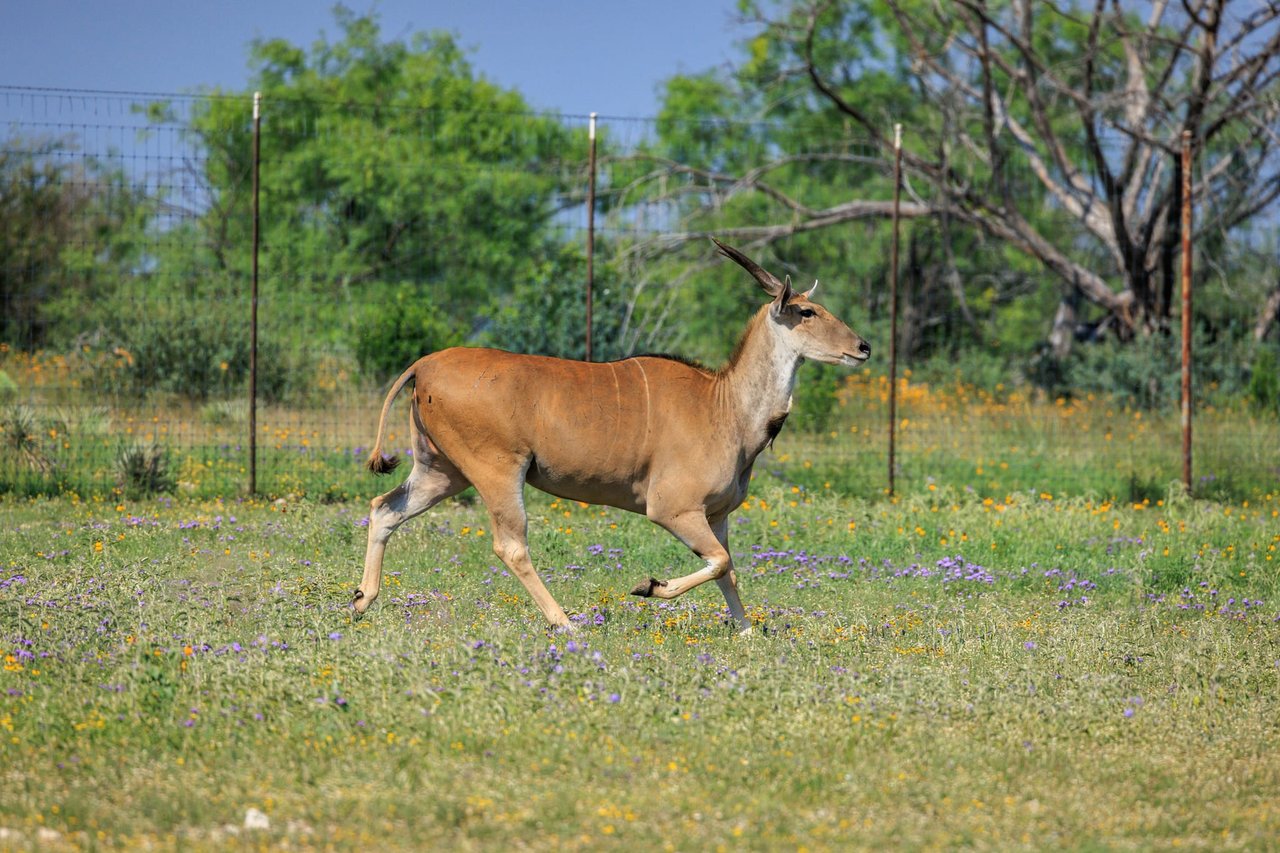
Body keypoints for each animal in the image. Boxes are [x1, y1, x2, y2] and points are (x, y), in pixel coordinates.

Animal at [353, 240, 870, 630]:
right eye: (806, 311)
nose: (862, 346)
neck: (723, 404)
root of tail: (424, 365)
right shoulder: (673, 509)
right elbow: (721, 562)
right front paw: (650, 586)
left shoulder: (716, 515)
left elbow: (728, 569)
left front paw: (745, 630)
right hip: (496, 470)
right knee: (511, 546)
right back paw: (564, 622)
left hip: (441, 471)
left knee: (385, 509)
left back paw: (361, 600)